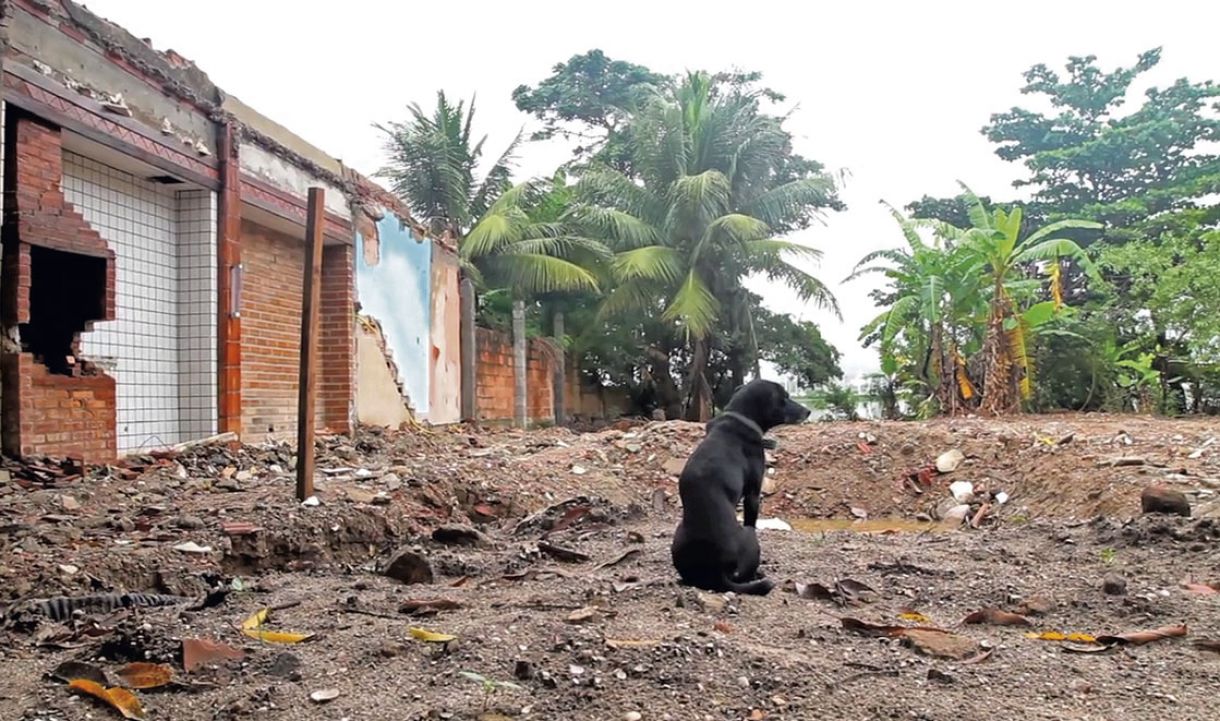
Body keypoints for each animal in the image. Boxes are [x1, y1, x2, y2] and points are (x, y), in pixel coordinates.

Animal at [668, 380, 810, 595]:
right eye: (784, 398)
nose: (808, 411)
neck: (740, 417)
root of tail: (717, 574)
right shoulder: (753, 493)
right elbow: (752, 515)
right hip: (750, 536)